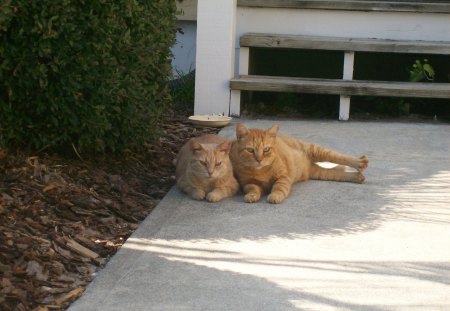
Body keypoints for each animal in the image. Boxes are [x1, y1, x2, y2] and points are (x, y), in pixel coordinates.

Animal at [230, 123, 368, 206]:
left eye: (266, 149)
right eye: (250, 150)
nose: (259, 159)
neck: (260, 171)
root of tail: (308, 165)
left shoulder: (283, 177)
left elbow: (279, 187)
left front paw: (275, 195)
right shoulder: (246, 183)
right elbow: (253, 188)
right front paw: (252, 195)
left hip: (316, 150)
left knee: (339, 157)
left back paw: (361, 162)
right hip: (321, 173)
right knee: (336, 173)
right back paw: (357, 177)